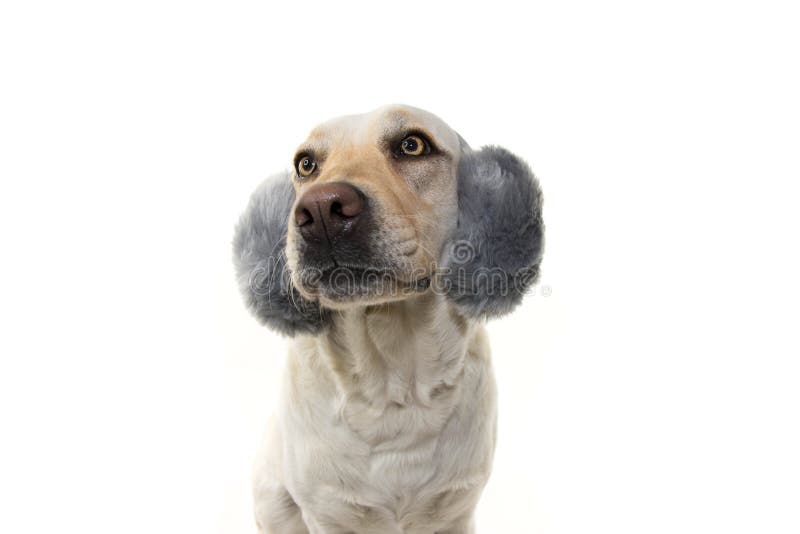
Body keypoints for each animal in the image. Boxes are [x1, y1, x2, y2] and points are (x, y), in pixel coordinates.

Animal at [231, 102, 544, 532]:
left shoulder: (457, 508)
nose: (321, 208)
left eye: (412, 145)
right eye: (306, 164)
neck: (391, 386)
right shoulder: (325, 513)